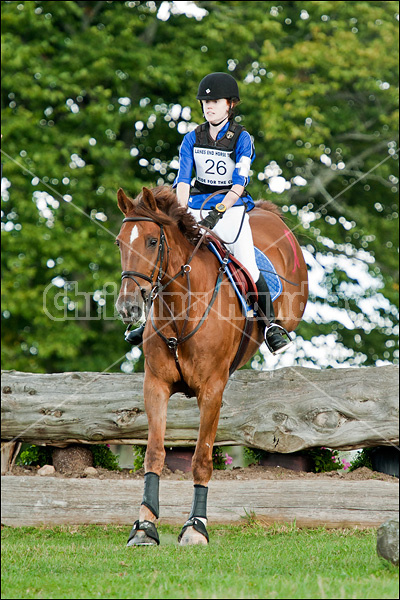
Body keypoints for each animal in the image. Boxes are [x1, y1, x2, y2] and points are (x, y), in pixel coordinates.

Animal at [114, 185, 308, 548]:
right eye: (120, 242)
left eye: (152, 241)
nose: (128, 306)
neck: (181, 307)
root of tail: (266, 211)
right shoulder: (155, 386)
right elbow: (154, 453)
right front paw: (145, 525)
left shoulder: (212, 390)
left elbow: (201, 459)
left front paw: (196, 526)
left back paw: (276, 332)